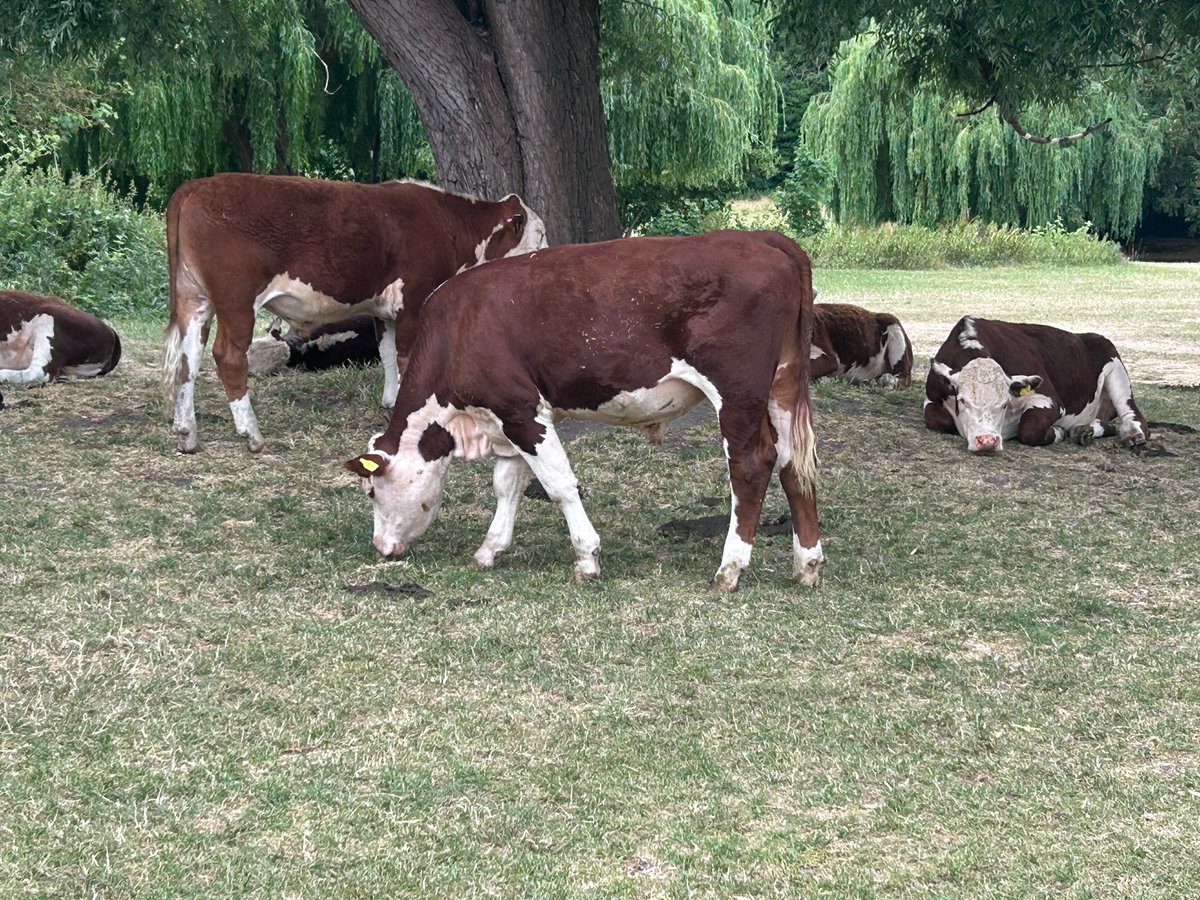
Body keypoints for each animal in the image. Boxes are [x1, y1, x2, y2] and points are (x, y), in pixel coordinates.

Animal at [162, 174, 547, 453]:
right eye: (539, 234)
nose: (546, 255)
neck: (448, 224)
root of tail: (196, 186)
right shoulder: (413, 302)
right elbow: (408, 359)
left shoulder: (384, 310)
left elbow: (387, 354)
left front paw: (390, 404)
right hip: (237, 300)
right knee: (227, 356)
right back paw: (251, 434)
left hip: (194, 299)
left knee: (187, 358)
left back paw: (186, 432)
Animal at [343, 230, 824, 592]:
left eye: (371, 492)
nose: (380, 546)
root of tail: (762, 238)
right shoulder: (513, 418)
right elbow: (507, 485)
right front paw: (490, 549)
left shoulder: (520, 410)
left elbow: (559, 486)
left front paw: (587, 558)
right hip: (782, 385)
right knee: (793, 465)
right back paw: (807, 564)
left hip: (737, 391)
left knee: (752, 465)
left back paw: (730, 569)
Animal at [924, 316, 1150, 453]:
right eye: (962, 401)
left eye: (1005, 404)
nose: (987, 440)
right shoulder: (932, 396)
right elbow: (935, 419)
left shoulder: (1051, 400)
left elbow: (1030, 428)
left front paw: (1058, 432)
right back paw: (1083, 430)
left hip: (1116, 371)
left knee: (1132, 415)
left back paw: (1133, 434)